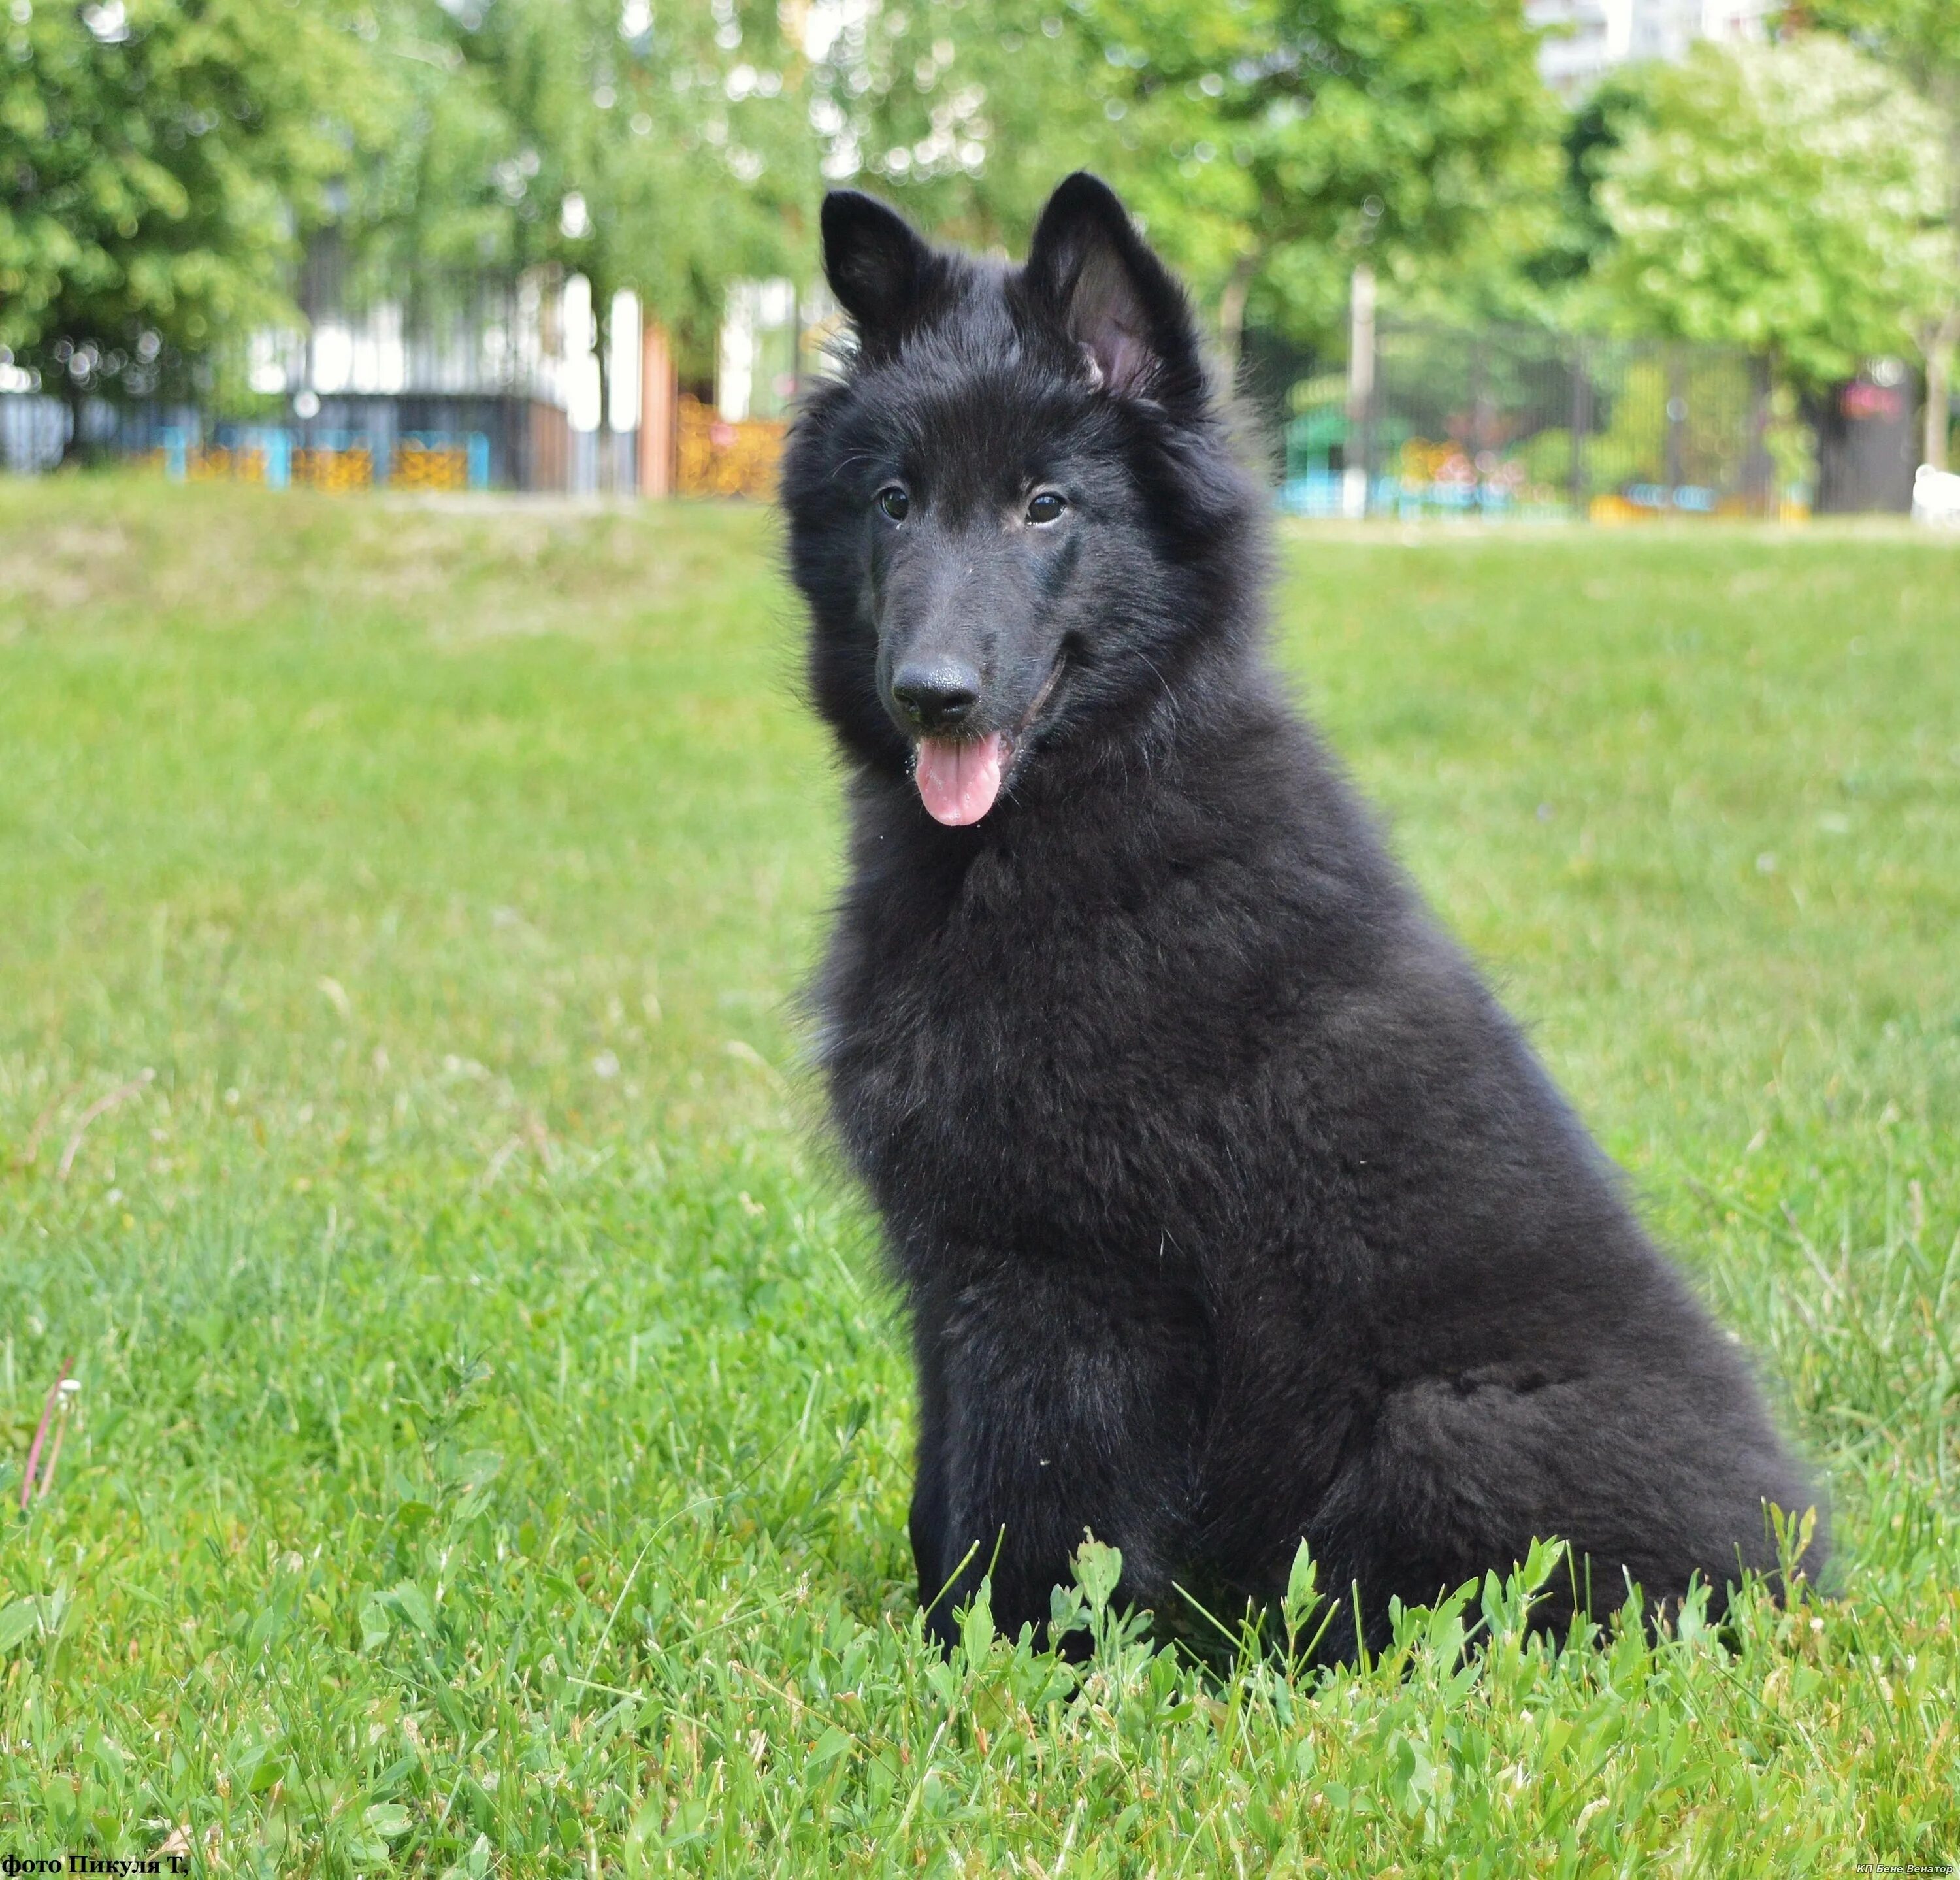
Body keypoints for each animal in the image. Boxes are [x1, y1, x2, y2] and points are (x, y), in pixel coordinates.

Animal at [780, 169, 1819, 1655]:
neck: (1076, 812)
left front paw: (1023, 1669)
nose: (933, 695)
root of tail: (1798, 1567)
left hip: (1437, 1434)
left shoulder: (1072, 1280)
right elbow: (951, 1500)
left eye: (1047, 505)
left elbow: (1038, 1517)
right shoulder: (960, 1273)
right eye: (894, 501)